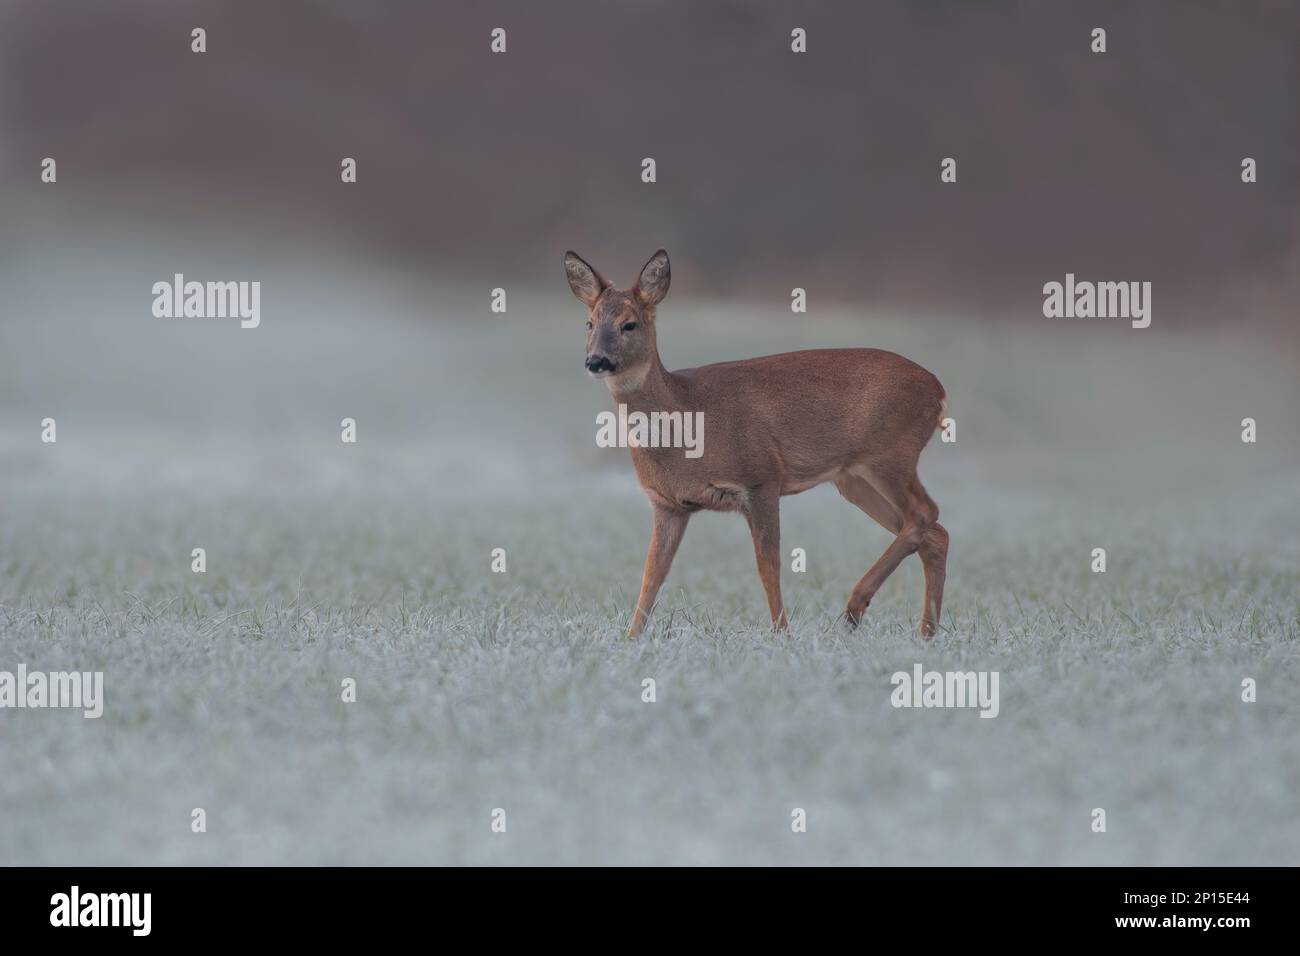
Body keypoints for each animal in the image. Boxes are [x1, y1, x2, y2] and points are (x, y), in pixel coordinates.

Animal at [564, 249, 949, 639]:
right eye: (589, 323)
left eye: (629, 324)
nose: (596, 361)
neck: (687, 419)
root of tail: (938, 390)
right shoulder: (667, 503)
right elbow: (652, 574)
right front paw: (631, 638)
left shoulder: (761, 477)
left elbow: (768, 564)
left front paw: (782, 634)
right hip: (853, 478)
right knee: (933, 533)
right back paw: (924, 633)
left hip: (890, 453)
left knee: (925, 513)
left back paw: (856, 609)